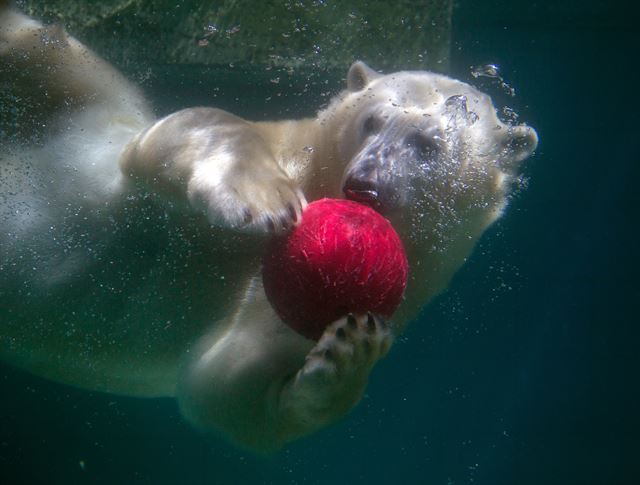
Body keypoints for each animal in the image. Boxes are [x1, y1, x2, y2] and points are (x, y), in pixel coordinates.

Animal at [0, 5, 536, 450]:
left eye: (428, 145)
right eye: (371, 121)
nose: (364, 185)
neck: (317, 175)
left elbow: (226, 387)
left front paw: (351, 351)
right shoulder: (276, 145)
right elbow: (188, 127)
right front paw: (262, 199)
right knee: (51, 54)